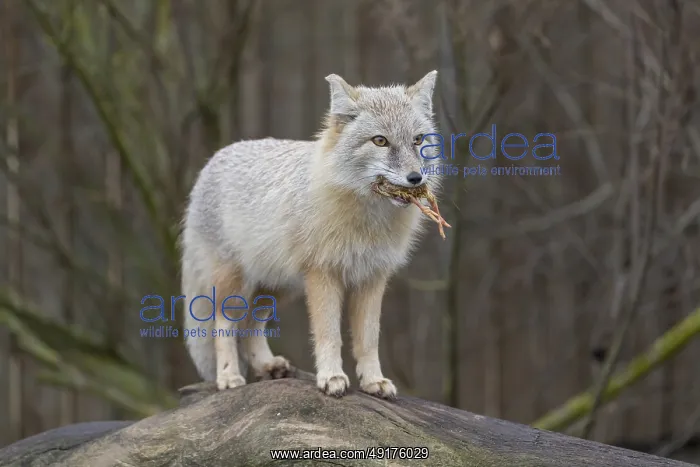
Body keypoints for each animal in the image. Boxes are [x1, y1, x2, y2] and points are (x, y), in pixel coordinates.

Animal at [181, 71, 441, 399]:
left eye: (418, 140)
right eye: (380, 141)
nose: (415, 178)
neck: (368, 222)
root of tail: (213, 160)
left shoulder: (372, 277)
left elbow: (368, 340)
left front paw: (373, 380)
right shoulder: (323, 274)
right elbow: (329, 334)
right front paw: (331, 377)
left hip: (277, 287)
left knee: (252, 323)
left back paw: (267, 365)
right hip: (236, 285)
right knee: (224, 325)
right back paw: (229, 376)